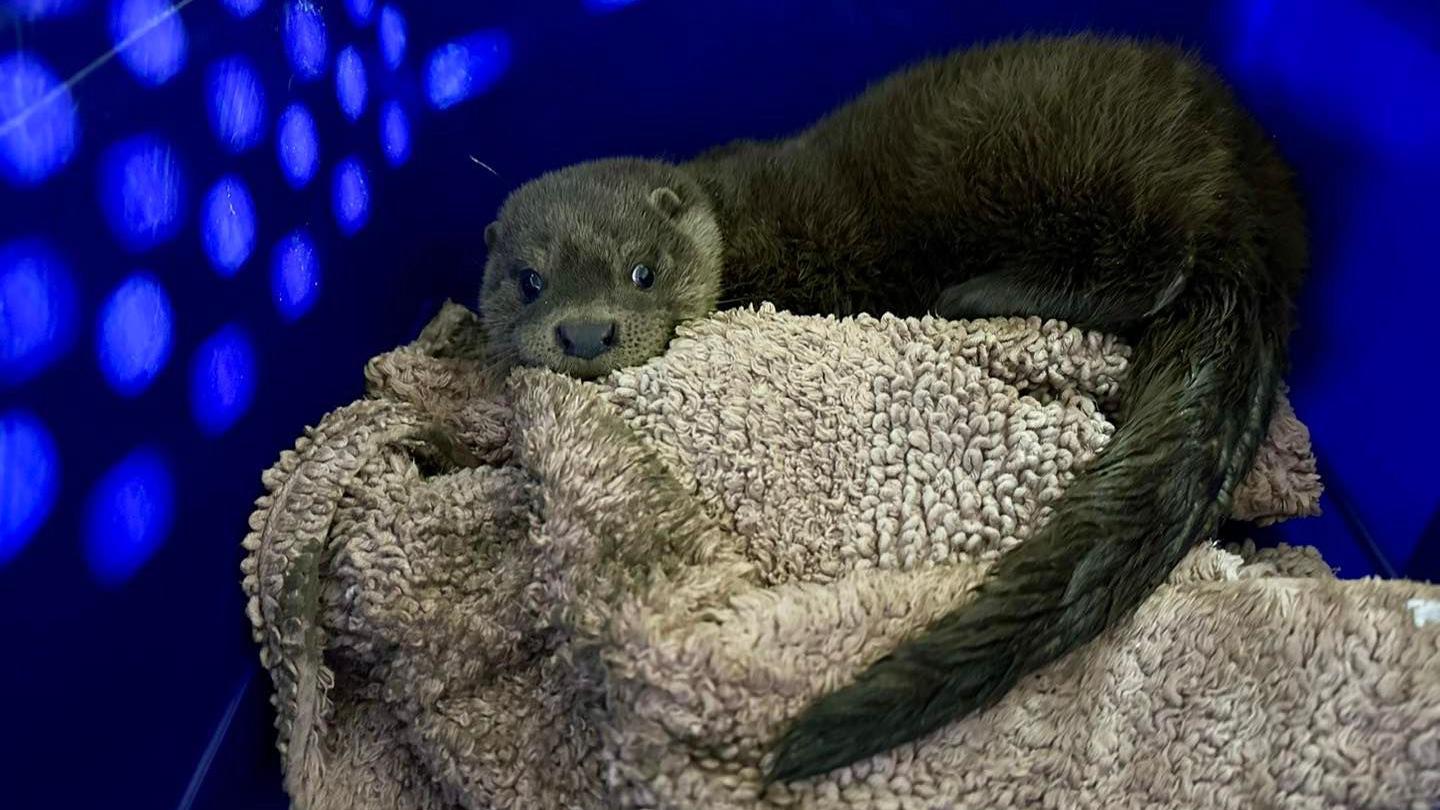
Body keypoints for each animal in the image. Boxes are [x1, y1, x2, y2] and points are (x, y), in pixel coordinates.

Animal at [480, 33, 1307, 784]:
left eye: (642, 271)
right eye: (529, 280)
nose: (587, 332)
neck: (733, 214)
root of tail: (1256, 185)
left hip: (1104, 167)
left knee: (1156, 268)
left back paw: (972, 295)